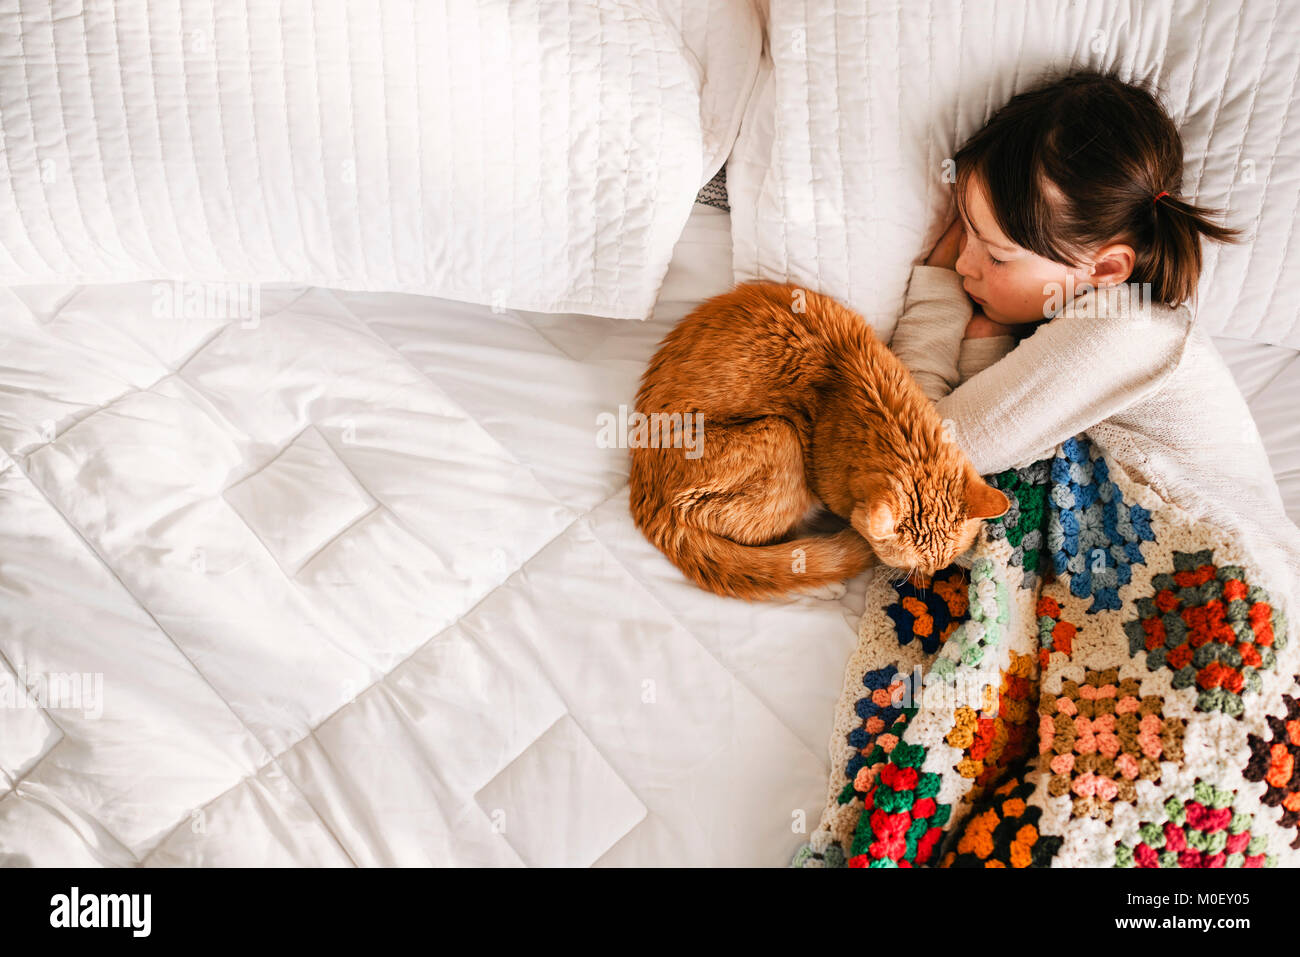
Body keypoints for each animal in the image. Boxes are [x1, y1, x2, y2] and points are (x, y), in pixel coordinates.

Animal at [624, 280, 1008, 600]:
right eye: (915, 565)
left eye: (947, 560)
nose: (931, 576)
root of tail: (647, 502)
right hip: (781, 437)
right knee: (768, 554)